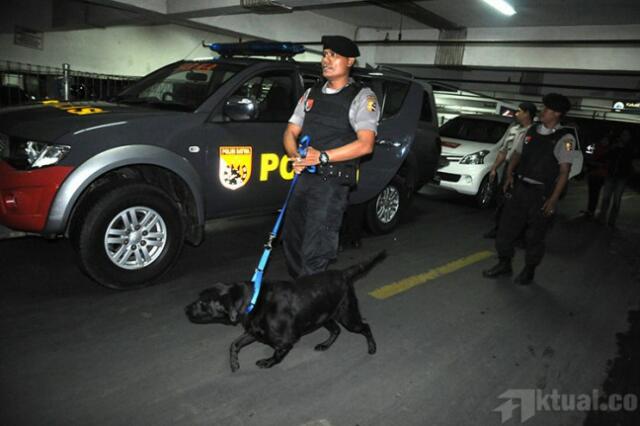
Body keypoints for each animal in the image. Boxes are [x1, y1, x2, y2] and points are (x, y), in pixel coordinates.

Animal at [185, 251, 385, 372]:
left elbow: (277, 354)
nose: (186, 309)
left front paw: (267, 362)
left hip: (348, 316)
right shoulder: (254, 332)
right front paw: (234, 363)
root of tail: (343, 273)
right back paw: (325, 345)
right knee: (336, 330)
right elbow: (234, 344)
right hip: (323, 316)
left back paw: (372, 348)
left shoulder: (286, 340)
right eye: (198, 297)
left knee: (365, 327)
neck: (253, 299)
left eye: (202, 303)